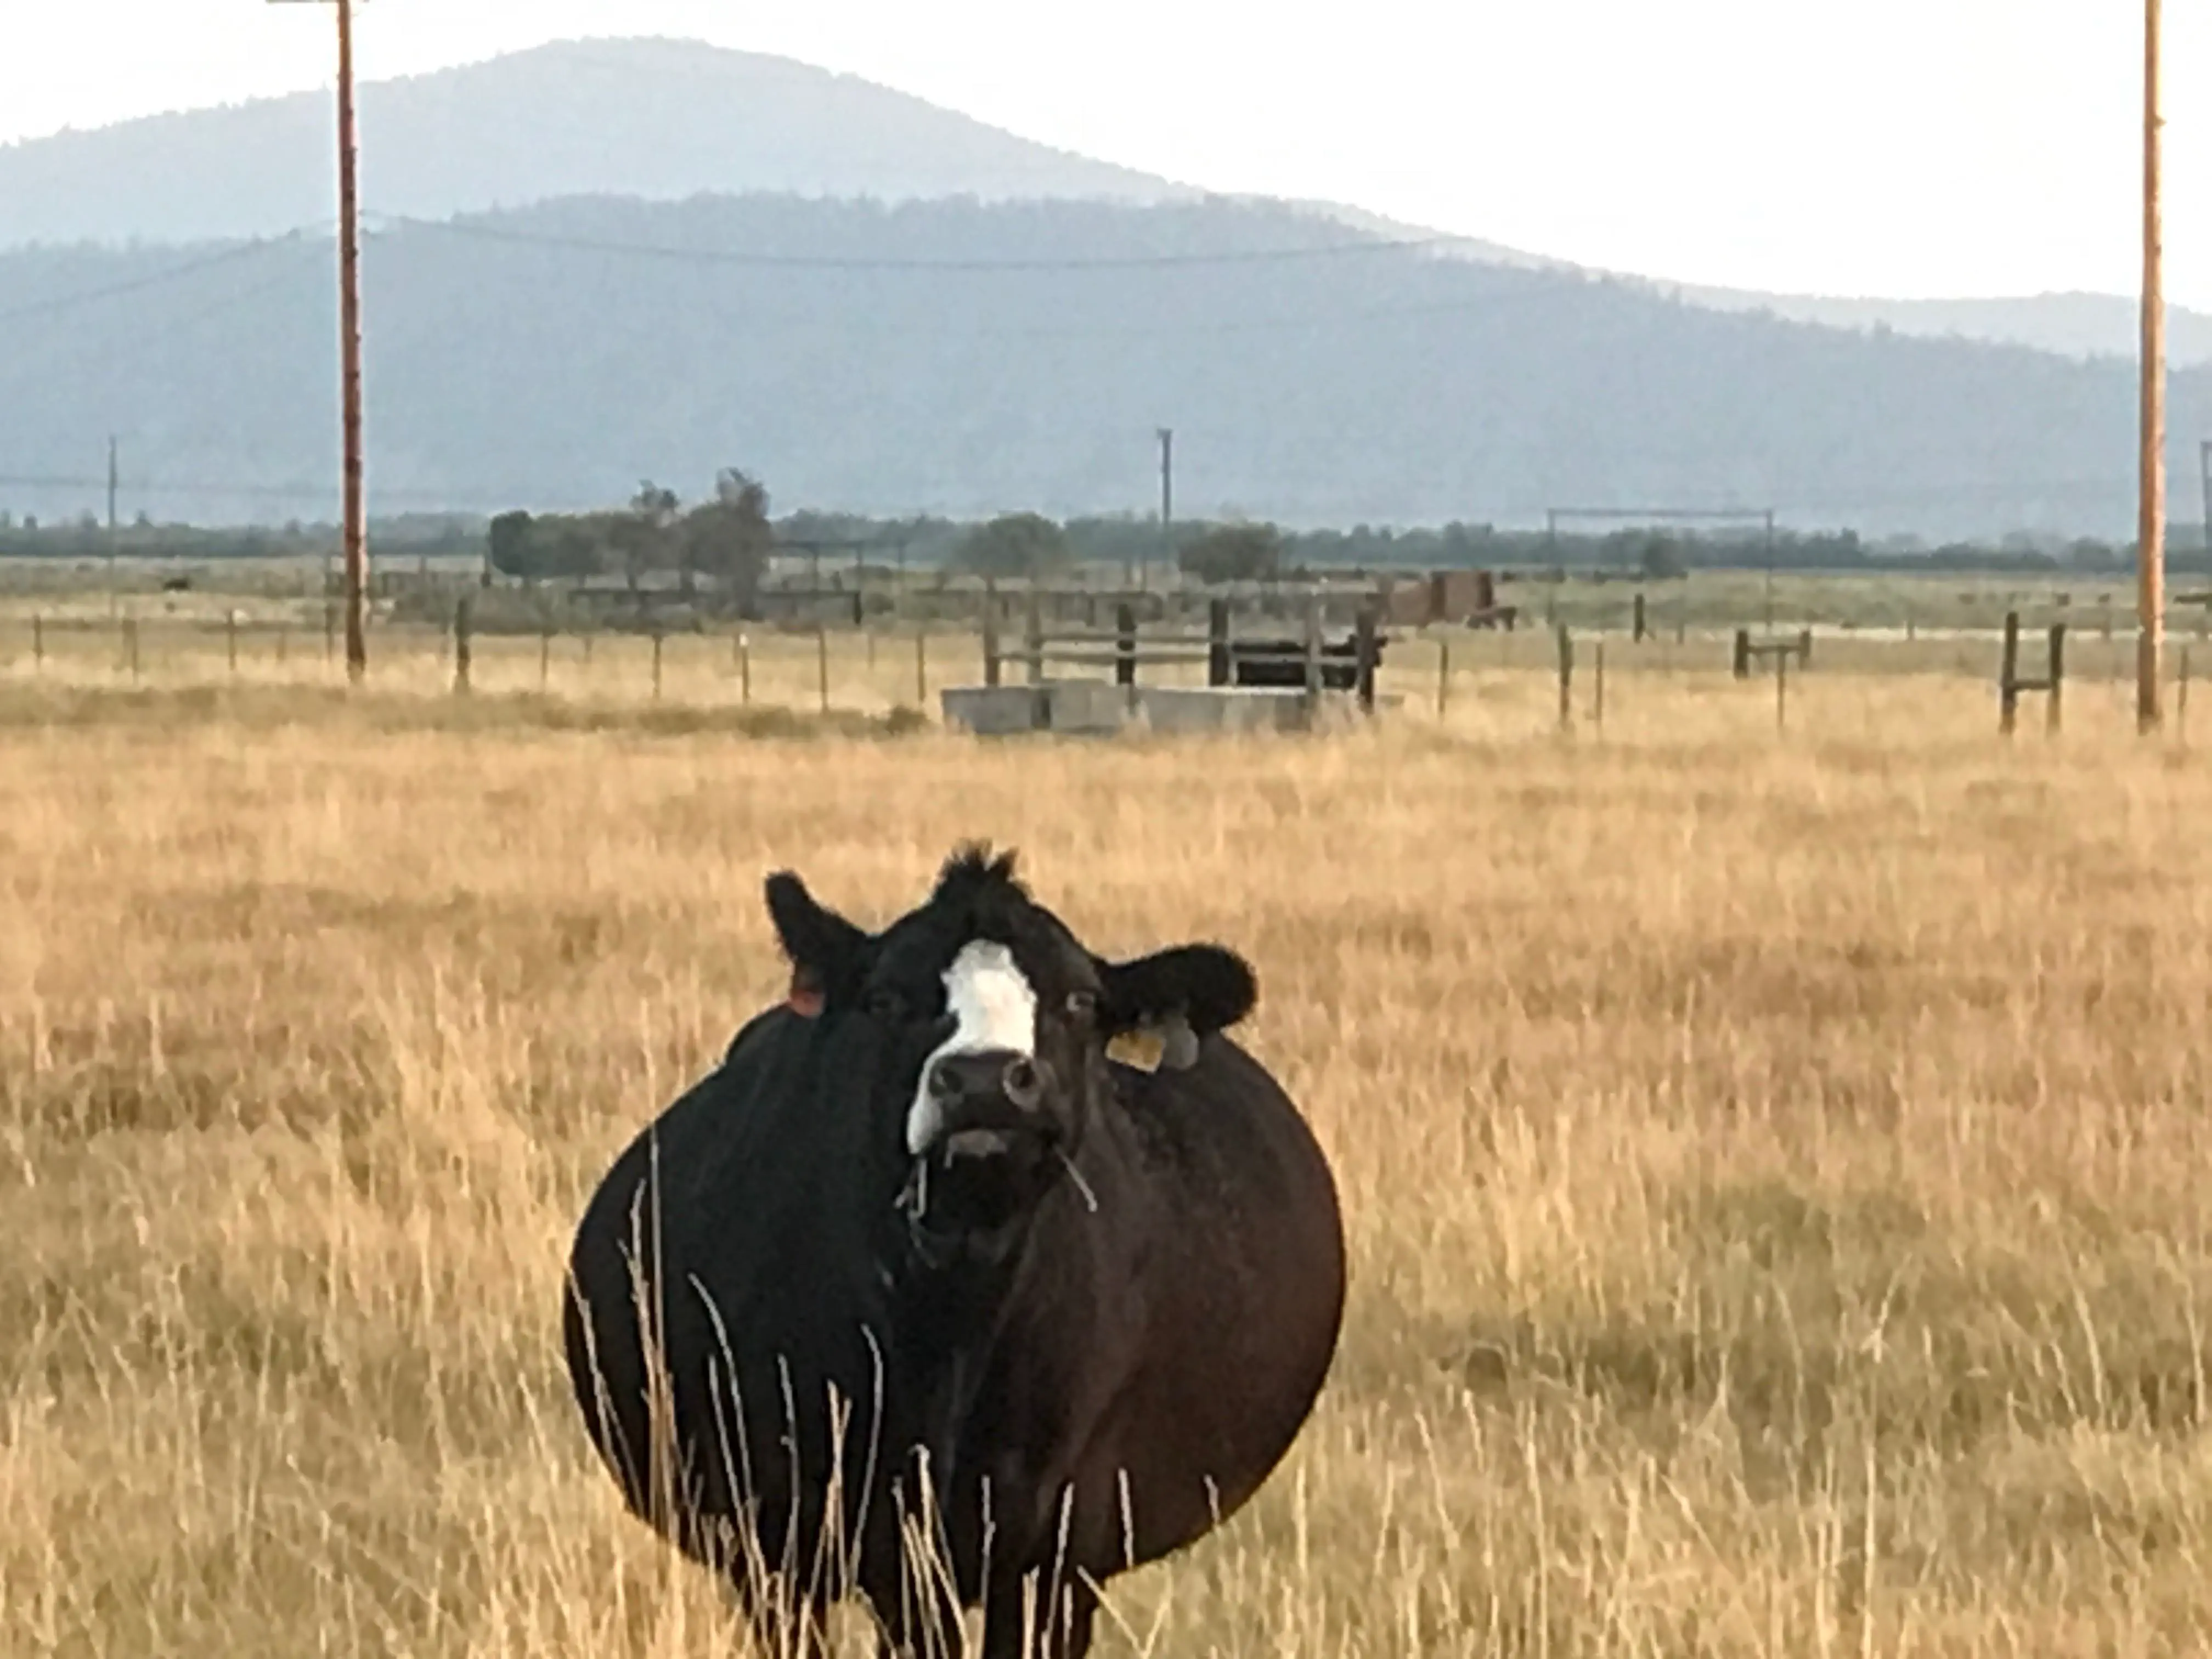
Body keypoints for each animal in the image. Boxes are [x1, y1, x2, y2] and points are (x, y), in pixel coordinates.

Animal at [561, 845, 1346, 1659]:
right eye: (885, 998)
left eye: (1080, 1001)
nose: (985, 1079)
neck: (951, 1320)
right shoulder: (799, 1536)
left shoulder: (1058, 1546)